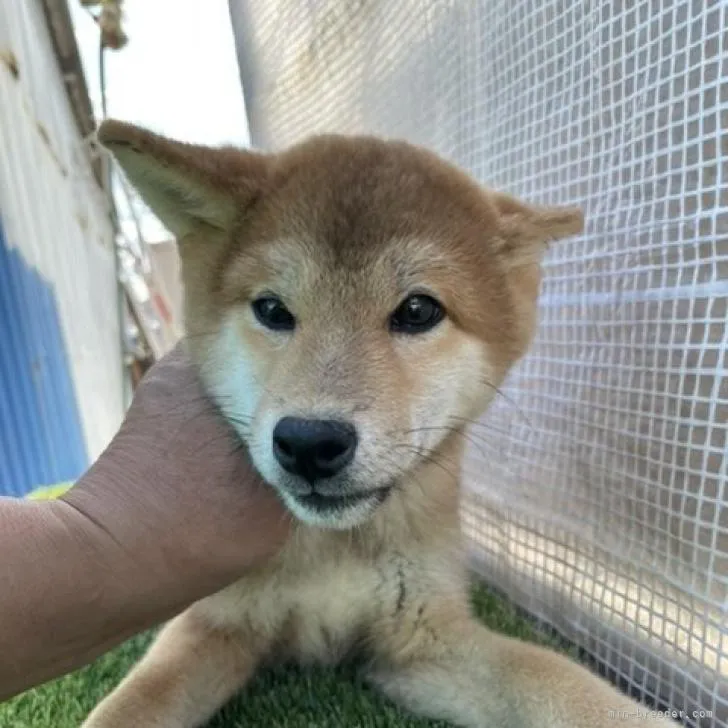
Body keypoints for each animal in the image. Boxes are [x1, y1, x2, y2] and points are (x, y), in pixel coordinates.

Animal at [82, 121, 672, 728]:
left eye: (417, 311)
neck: (332, 548)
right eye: (272, 309)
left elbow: (555, 677)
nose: (309, 442)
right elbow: (131, 703)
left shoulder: (420, 638)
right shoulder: (215, 620)